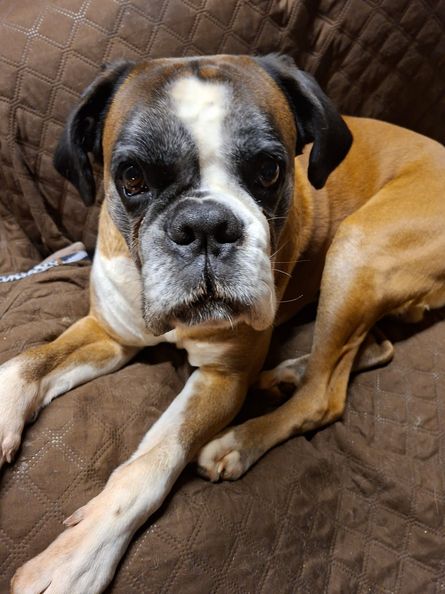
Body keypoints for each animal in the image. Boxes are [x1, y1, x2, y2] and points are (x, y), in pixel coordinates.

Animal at [3, 53, 445, 593]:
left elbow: (152, 461)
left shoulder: (222, 378)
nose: (205, 225)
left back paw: (240, 440)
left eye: (270, 170)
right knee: (373, 348)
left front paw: (79, 555)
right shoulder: (108, 334)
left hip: (356, 245)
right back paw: (286, 374)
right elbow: (28, 362)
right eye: (132, 177)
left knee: (324, 396)